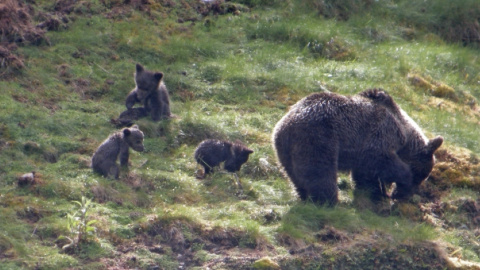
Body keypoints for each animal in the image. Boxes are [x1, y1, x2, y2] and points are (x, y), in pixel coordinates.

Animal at [272, 88, 444, 205]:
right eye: (420, 175)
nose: (401, 195)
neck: (404, 131)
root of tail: (287, 124)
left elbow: (365, 172)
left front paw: (371, 191)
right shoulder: (381, 132)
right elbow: (380, 158)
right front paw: (401, 178)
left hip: (284, 149)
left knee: (295, 175)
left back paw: (304, 195)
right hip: (318, 138)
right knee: (320, 171)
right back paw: (328, 200)